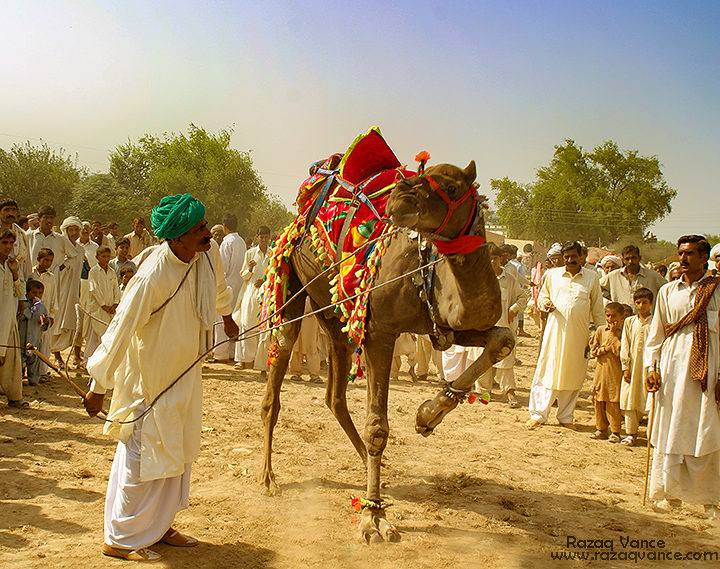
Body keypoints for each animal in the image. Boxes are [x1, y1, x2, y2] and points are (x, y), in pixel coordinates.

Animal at [259, 159, 514, 543]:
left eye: (452, 187)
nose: (400, 195)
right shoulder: (380, 331)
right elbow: (378, 426)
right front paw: (373, 518)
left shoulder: (443, 325)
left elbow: (503, 339)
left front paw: (428, 415)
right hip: (291, 286)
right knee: (276, 383)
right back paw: (269, 477)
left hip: (334, 312)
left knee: (335, 394)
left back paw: (368, 467)